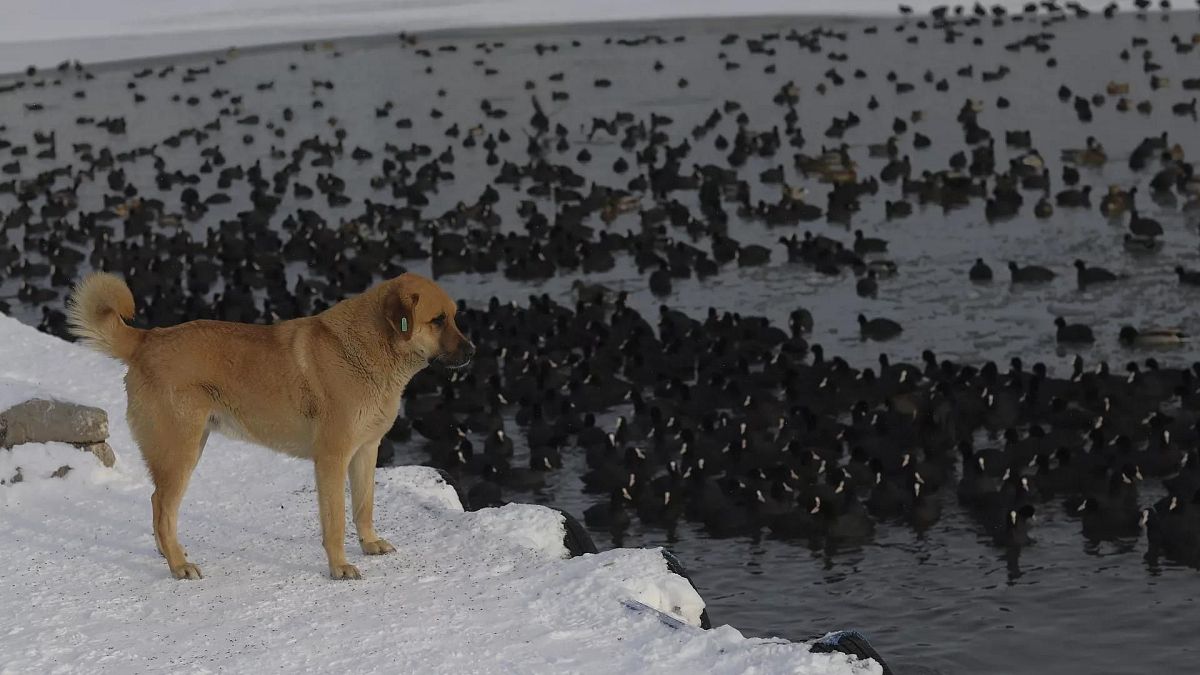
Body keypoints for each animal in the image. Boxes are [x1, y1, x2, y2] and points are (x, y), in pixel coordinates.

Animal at [66, 270, 472, 576]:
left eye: (454, 316)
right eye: (437, 320)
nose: (473, 351)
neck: (369, 350)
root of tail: (146, 340)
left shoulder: (365, 451)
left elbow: (364, 506)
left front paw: (369, 544)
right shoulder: (332, 458)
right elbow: (336, 521)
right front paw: (339, 567)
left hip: (188, 448)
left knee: (159, 507)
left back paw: (171, 556)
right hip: (180, 452)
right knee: (162, 507)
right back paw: (179, 565)